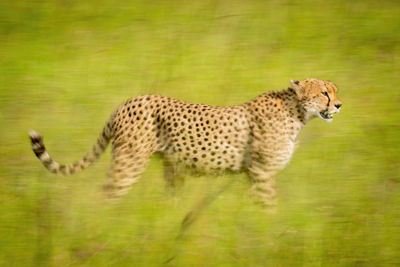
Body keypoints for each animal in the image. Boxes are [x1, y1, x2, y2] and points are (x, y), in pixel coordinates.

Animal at [28, 78, 340, 206]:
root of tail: (127, 102)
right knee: (105, 196)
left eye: (335, 91)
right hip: (129, 162)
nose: (338, 105)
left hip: (171, 168)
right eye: (324, 93)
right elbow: (269, 205)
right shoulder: (262, 172)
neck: (298, 112)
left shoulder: (254, 174)